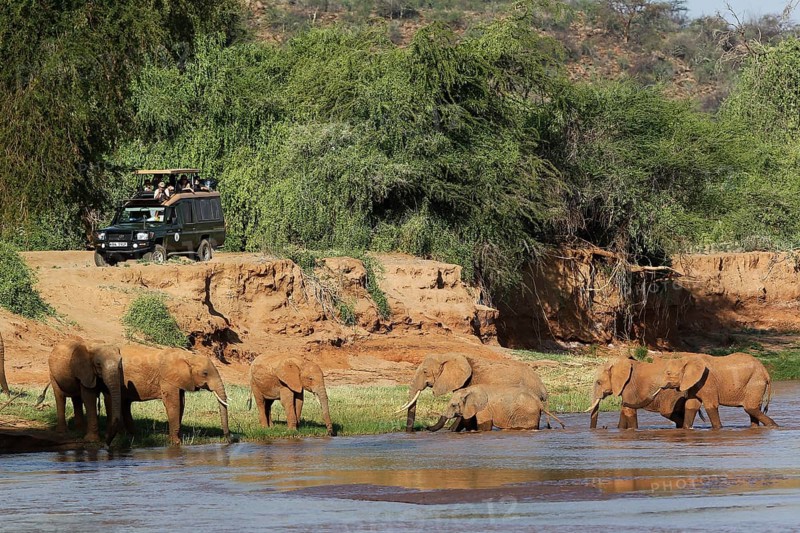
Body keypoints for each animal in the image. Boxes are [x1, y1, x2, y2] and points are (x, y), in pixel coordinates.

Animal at [427, 384, 565, 432]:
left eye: (453, 405)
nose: (426, 427)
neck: (468, 390)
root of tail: (539, 401)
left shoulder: (484, 408)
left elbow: (484, 426)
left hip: (526, 413)